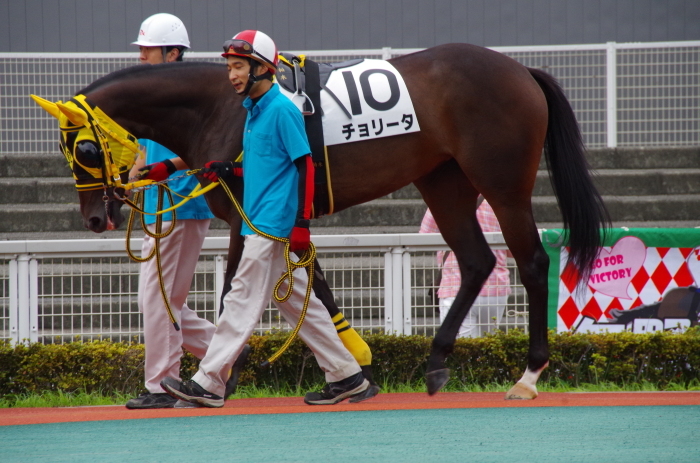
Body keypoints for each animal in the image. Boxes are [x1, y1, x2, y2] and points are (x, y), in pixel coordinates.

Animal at [35, 43, 608, 398]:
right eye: (68, 150)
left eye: (84, 148)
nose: (94, 217)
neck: (224, 106)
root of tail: (521, 70)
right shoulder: (278, 219)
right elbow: (307, 287)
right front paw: (351, 362)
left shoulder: (250, 214)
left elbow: (234, 291)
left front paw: (217, 376)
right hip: (443, 181)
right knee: (475, 261)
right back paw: (437, 360)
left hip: (503, 182)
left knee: (531, 262)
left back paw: (528, 375)